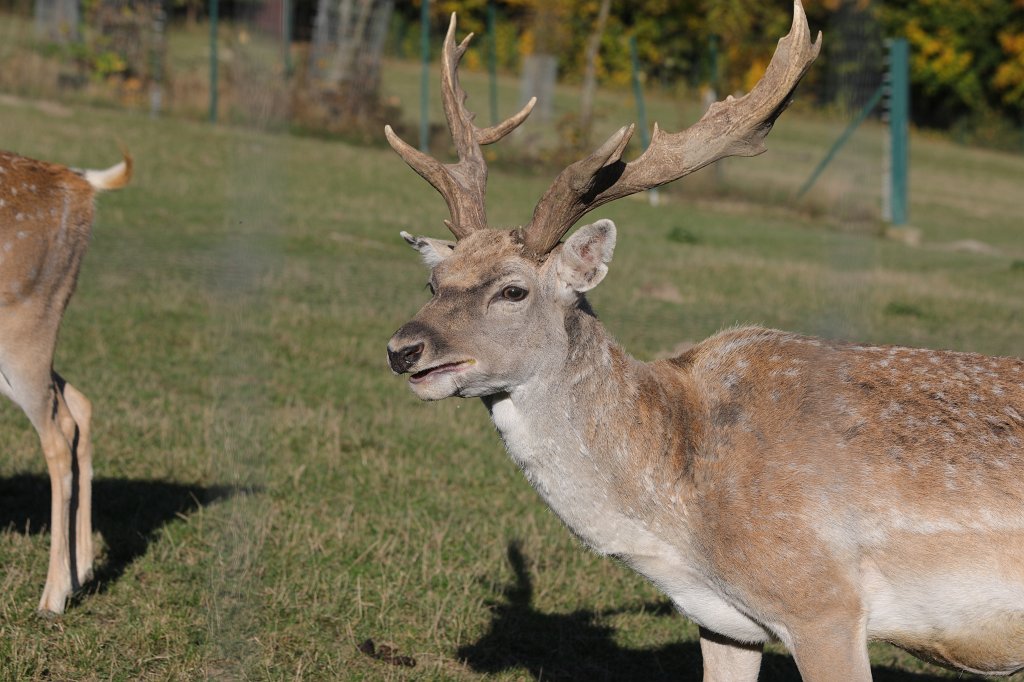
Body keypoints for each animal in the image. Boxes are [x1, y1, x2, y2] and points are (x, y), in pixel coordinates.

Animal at [0, 148, 131, 614]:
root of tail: (82, 182)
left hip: (25, 320)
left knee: (58, 434)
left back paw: (53, 597)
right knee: (78, 401)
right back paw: (82, 572)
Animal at [384, 3, 1024, 680]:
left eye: (513, 290)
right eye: (433, 280)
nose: (403, 349)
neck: (681, 523)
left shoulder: (823, 601)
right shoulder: (724, 621)